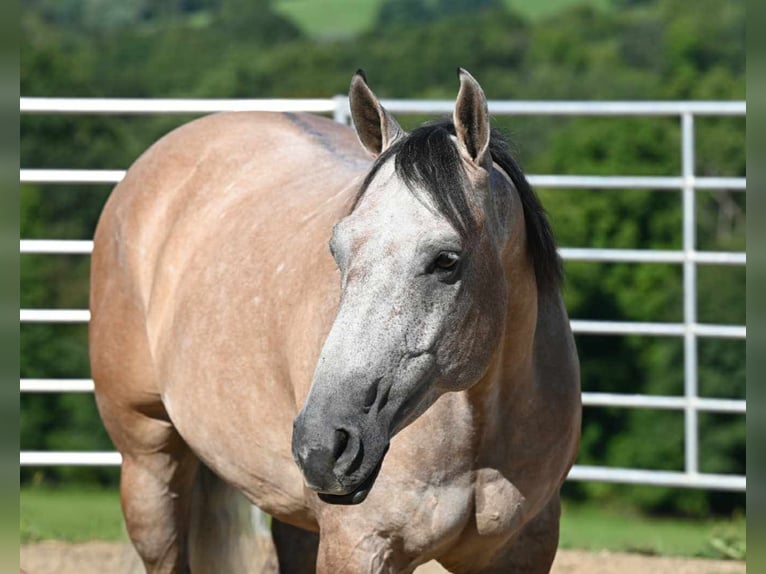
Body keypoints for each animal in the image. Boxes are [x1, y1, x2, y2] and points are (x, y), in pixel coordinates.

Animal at [91, 68, 584, 574]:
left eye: (447, 260)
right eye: (336, 250)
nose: (322, 446)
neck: (477, 430)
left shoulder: (524, 548)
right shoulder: (360, 545)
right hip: (149, 468)